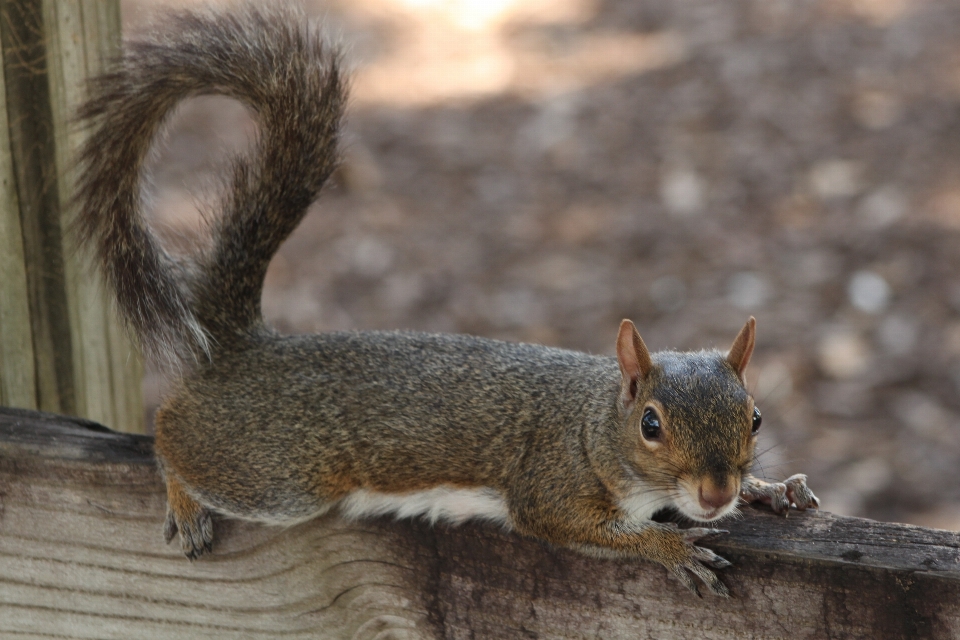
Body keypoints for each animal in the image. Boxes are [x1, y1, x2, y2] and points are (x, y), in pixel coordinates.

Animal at [75, 2, 816, 596]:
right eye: (652, 425)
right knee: (170, 434)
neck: (592, 425)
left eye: (754, 418)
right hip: (276, 475)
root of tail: (245, 347)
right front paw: (669, 547)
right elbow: (577, 527)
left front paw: (770, 488)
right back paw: (185, 500)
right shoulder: (550, 486)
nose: (717, 491)